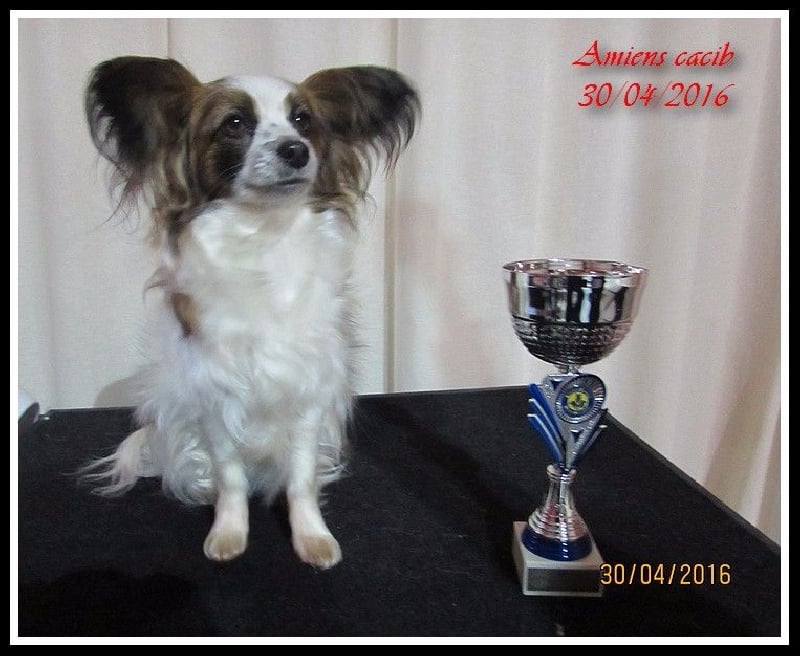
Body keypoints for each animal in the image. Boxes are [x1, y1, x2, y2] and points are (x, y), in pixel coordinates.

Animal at [81, 56, 419, 569]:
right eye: (235, 124)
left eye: (303, 121)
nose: (296, 150)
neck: (264, 234)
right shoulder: (216, 395)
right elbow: (231, 477)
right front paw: (228, 532)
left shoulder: (307, 392)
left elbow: (300, 477)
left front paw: (311, 537)